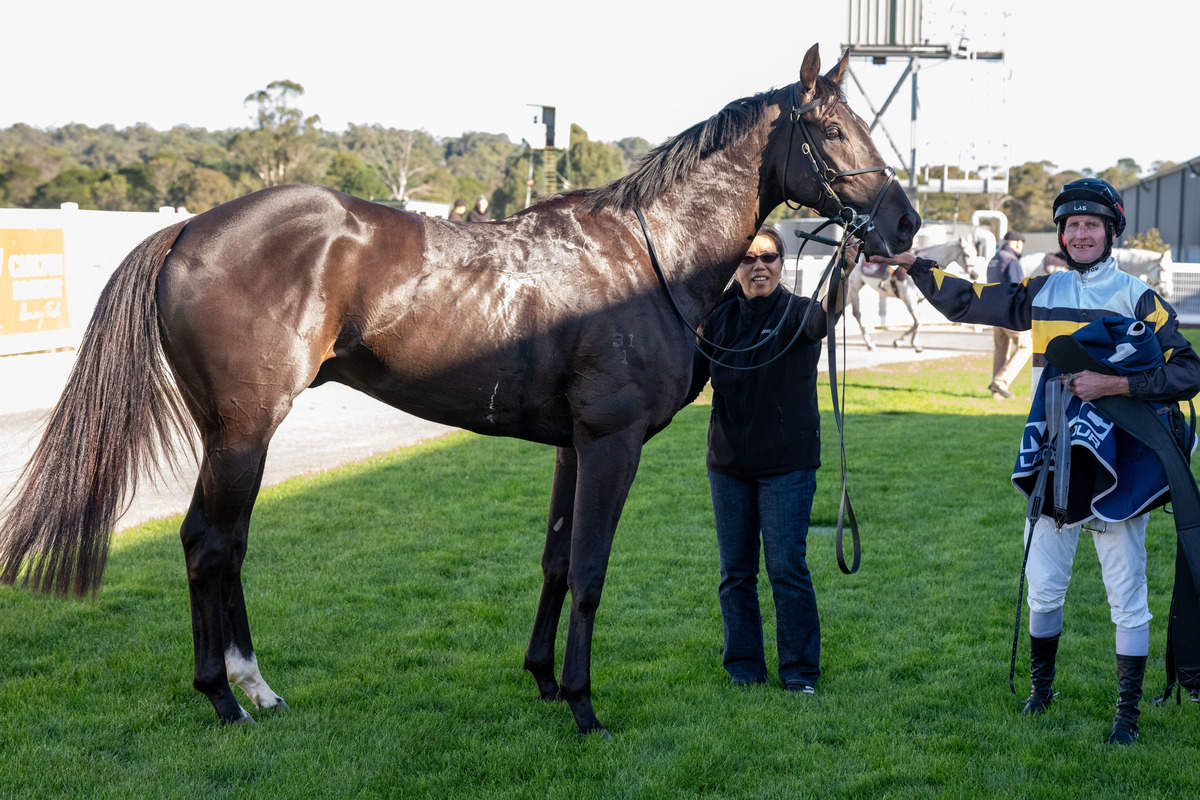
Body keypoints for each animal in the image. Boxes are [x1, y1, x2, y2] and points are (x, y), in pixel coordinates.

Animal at [0, 45, 918, 738]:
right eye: (832, 128)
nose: (905, 224)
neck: (643, 257)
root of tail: (188, 227)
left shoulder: (571, 448)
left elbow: (556, 561)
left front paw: (543, 679)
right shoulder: (610, 442)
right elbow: (591, 568)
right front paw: (584, 707)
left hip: (233, 435)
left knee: (229, 545)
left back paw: (256, 685)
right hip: (242, 431)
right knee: (207, 544)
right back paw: (224, 698)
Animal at [845, 234, 978, 352]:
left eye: (976, 254)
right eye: (967, 255)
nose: (975, 275)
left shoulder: (918, 301)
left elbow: (918, 322)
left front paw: (914, 343)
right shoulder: (908, 299)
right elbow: (917, 321)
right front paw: (899, 341)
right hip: (854, 287)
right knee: (857, 313)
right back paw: (869, 343)